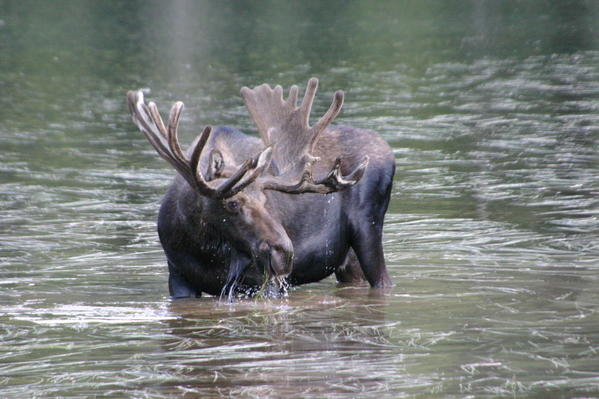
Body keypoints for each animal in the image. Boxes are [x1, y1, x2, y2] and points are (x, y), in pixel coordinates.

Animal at [127, 78, 394, 298]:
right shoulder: (179, 277)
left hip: (368, 228)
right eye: (232, 203)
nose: (285, 254)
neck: (203, 247)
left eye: (266, 200)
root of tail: (386, 146)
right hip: (347, 260)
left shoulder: (262, 282)